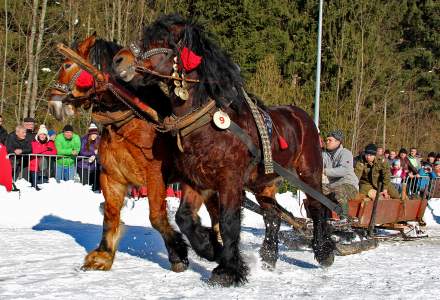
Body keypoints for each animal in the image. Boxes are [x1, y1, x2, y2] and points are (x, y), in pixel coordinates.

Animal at [48, 34, 189, 274]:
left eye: (66, 65)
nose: (53, 104)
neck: (130, 123)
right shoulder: (112, 177)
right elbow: (110, 214)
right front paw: (103, 255)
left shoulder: (155, 177)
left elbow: (157, 217)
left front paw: (178, 254)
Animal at [112, 15, 334, 288]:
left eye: (161, 40)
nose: (119, 60)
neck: (207, 123)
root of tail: (301, 115)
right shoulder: (196, 181)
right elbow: (184, 218)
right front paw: (210, 248)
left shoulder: (229, 180)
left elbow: (228, 222)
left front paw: (227, 270)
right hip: (263, 183)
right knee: (273, 215)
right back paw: (268, 258)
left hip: (309, 172)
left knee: (317, 207)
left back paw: (323, 251)